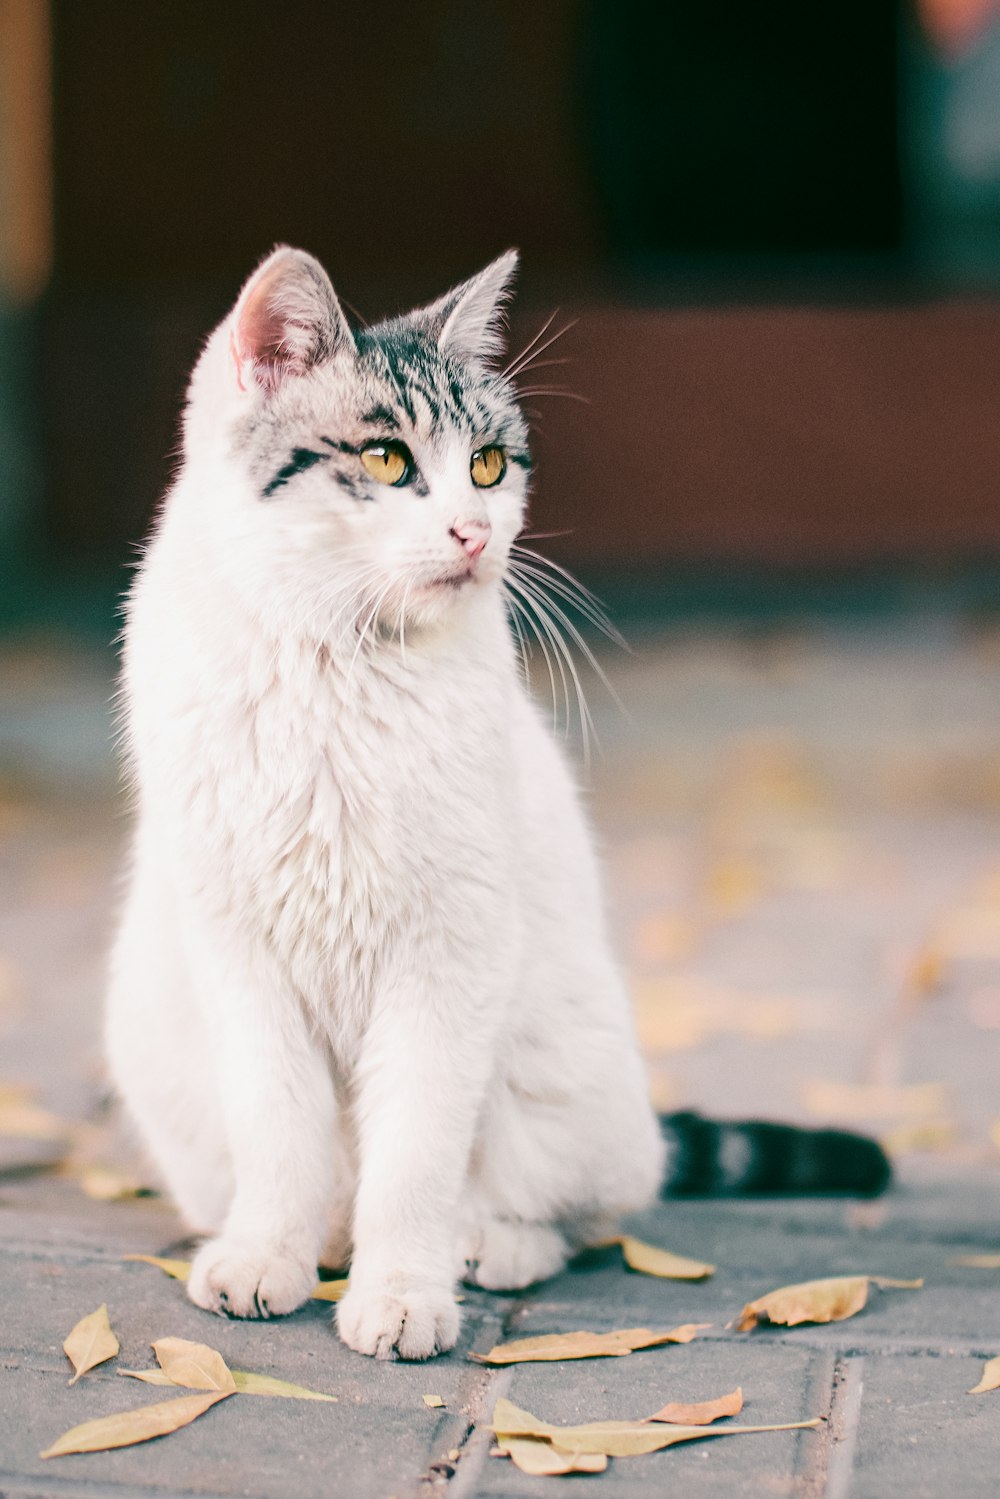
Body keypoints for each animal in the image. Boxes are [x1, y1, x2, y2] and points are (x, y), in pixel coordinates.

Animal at [107, 245, 893, 1361]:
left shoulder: (447, 954)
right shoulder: (240, 954)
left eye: (488, 466)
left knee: (573, 1211)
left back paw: (487, 1247)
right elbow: (281, 1131)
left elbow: (413, 1162)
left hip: (558, 1069)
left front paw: (402, 1294)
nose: (476, 533)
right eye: (386, 460)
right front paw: (267, 1255)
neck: (337, 662)